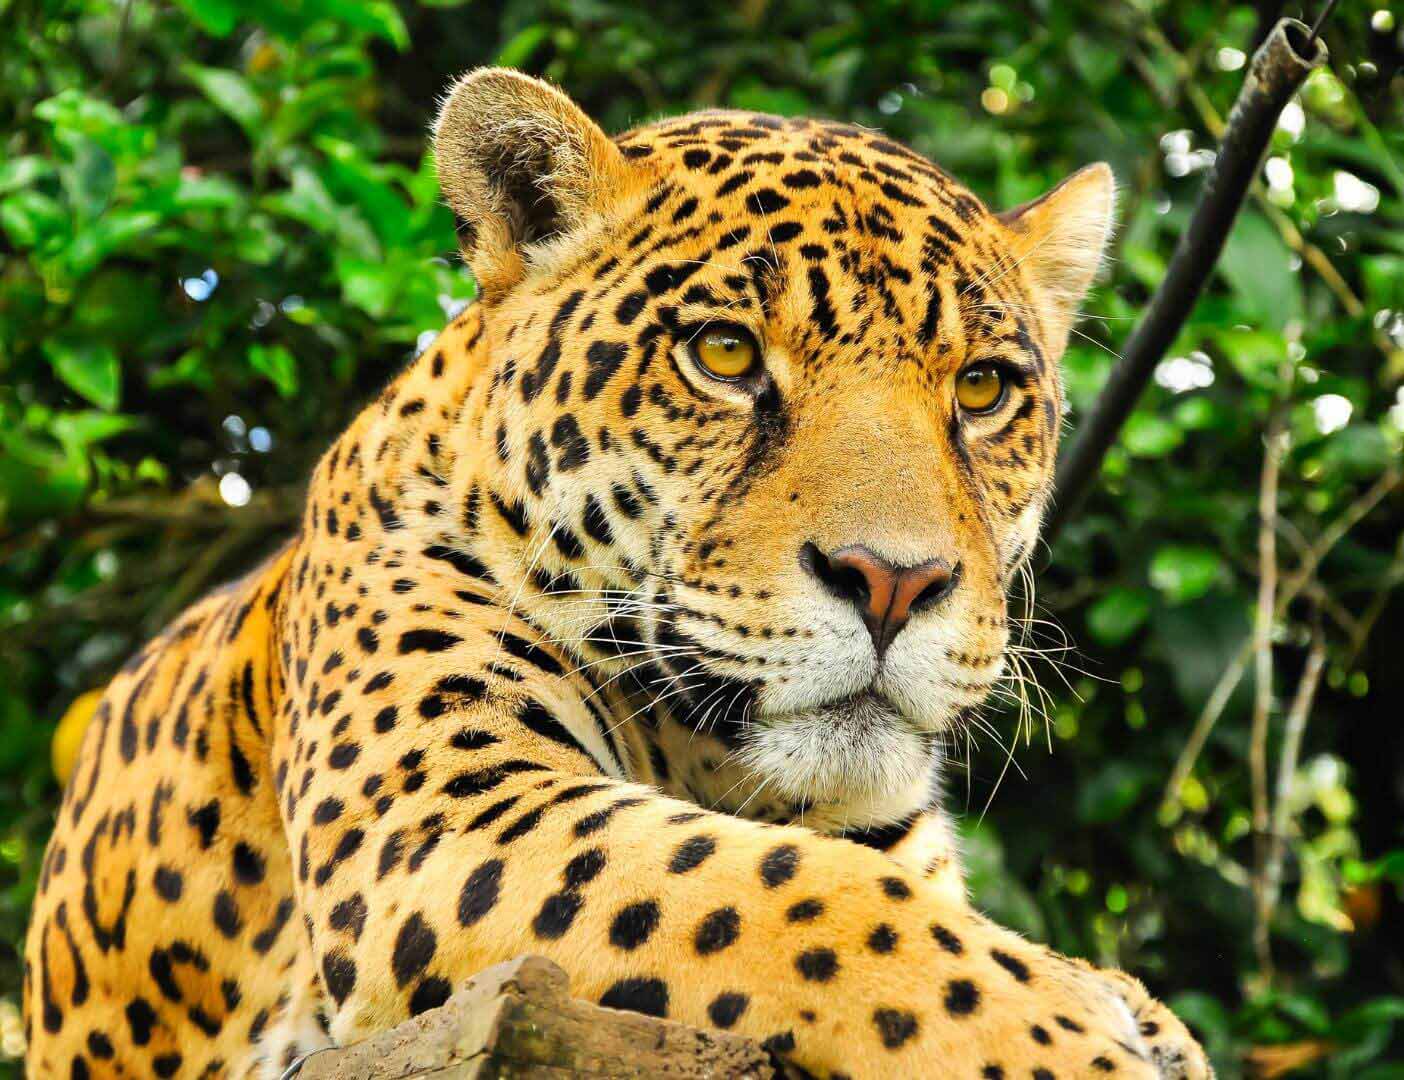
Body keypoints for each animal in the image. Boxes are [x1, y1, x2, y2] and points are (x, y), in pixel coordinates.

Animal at [24, 68, 1211, 1079]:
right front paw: (1068, 1040)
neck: (719, 764)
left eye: (983, 389)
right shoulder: (444, 817)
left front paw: (1126, 1009)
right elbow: (790, 892)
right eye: (724, 355)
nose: (892, 582)